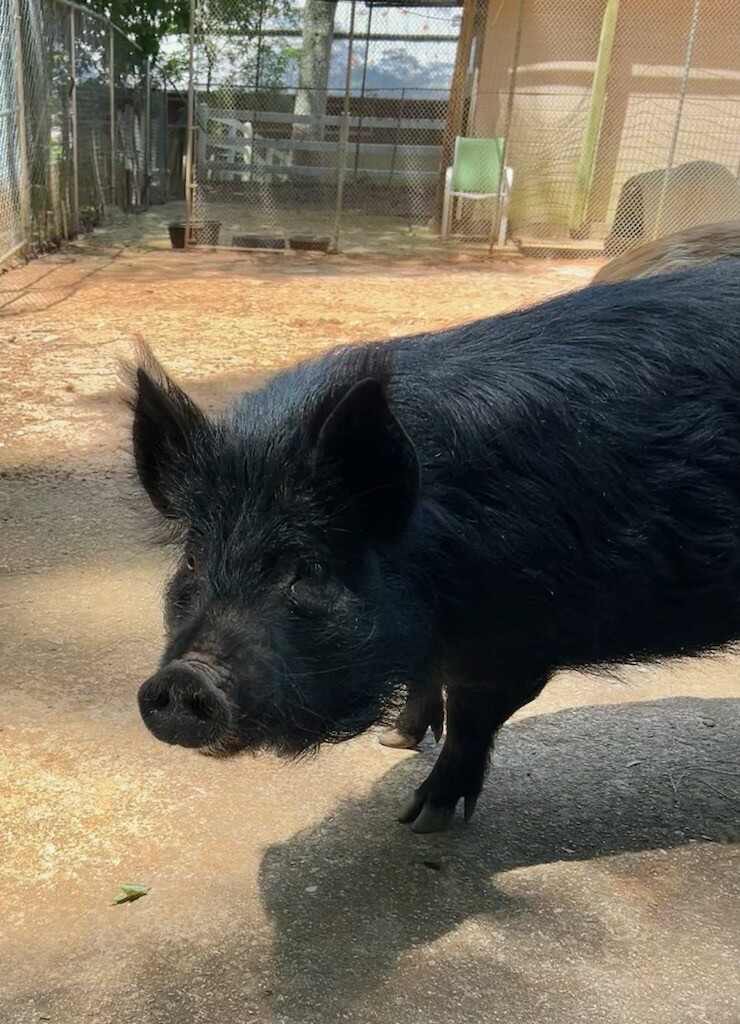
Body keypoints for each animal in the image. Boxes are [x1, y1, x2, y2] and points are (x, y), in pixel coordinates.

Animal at [129, 261, 740, 833]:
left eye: (308, 569)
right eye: (193, 559)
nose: (183, 678)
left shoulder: (514, 640)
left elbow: (473, 714)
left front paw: (419, 818)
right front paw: (397, 741)